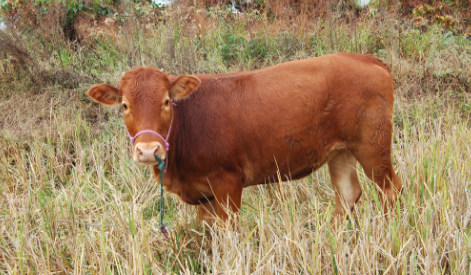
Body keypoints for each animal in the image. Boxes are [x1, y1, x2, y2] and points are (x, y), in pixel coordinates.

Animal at [86, 52, 404, 226]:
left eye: (166, 101)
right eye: (124, 105)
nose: (148, 150)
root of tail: (365, 58)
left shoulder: (227, 182)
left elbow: (229, 234)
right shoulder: (203, 193)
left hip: (372, 145)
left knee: (390, 191)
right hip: (340, 151)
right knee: (348, 193)